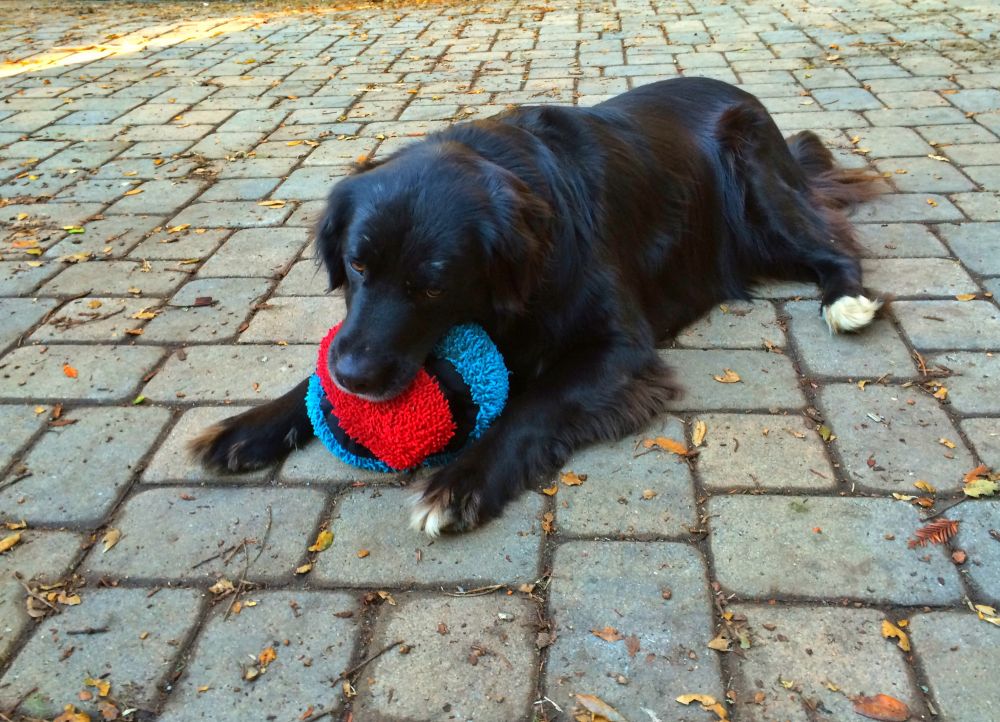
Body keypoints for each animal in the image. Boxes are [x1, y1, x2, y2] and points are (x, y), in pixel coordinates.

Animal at [191, 77, 881, 536]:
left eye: (432, 286)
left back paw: (846, 300)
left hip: (759, 194)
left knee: (832, 244)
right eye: (358, 265)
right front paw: (249, 427)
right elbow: (316, 372)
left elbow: (533, 407)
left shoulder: (618, 349)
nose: (357, 380)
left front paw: (460, 483)